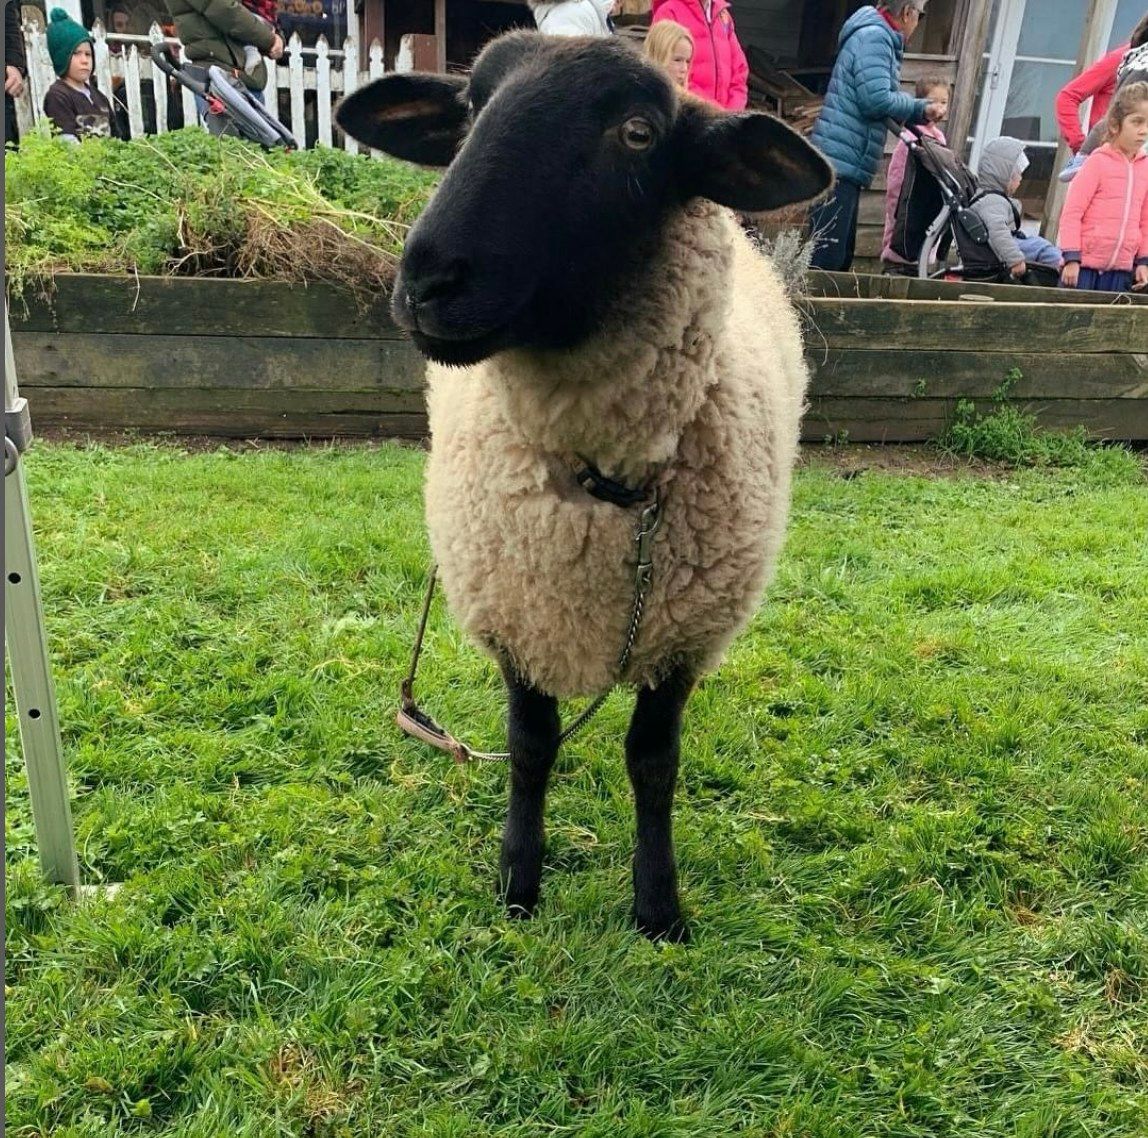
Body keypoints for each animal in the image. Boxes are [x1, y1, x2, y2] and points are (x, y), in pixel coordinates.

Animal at [335, 33, 831, 941]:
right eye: (469, 108)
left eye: (638, 133)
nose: (426, 280)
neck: (603, 486)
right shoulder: (518, 616)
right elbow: (532, 749)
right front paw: (519, 884)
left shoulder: (683, 637)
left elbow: (653, 761)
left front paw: (658, 906)